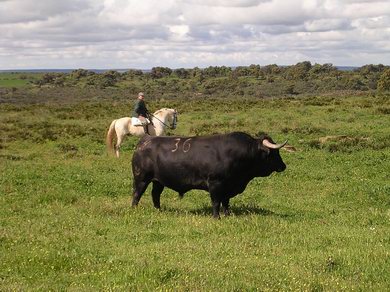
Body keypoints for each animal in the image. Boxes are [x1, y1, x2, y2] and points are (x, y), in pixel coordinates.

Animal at [131, 131, 286, 218]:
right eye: (274, 152)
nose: (283, 166)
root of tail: (145, 140)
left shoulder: (228, 187)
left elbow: (226, 202)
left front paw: (227, 215)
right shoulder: (215, 184)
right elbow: (216, 202)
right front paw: (217, 217)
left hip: (158, 181)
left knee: (155, 194)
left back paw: (159, 210)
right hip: (141, 178)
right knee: (137, 194)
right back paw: (134, 210)